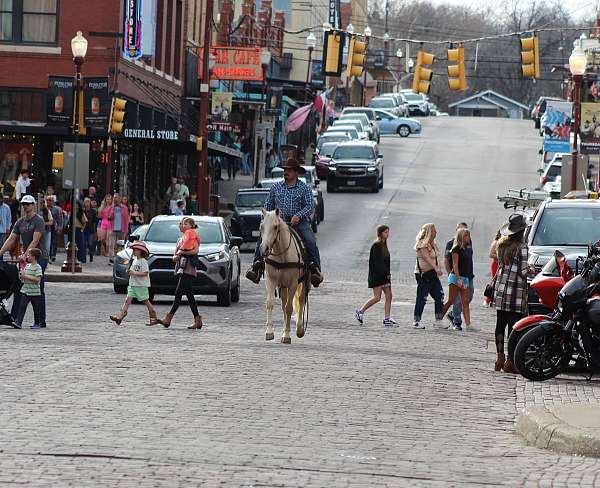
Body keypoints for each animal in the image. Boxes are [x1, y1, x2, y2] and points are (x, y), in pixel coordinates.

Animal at [258, 209, 308, 344]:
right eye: (261, 226)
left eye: (275, 227)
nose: (264, 249)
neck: (282, 255)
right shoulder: (271, 281)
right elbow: (270, 303)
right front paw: (269, 332)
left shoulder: (293, 284)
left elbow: (289, 308)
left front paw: (286, 335)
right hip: (283, 286)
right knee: (284, 304)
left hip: (303, 282)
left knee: (301, 300)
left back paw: (299, 329)